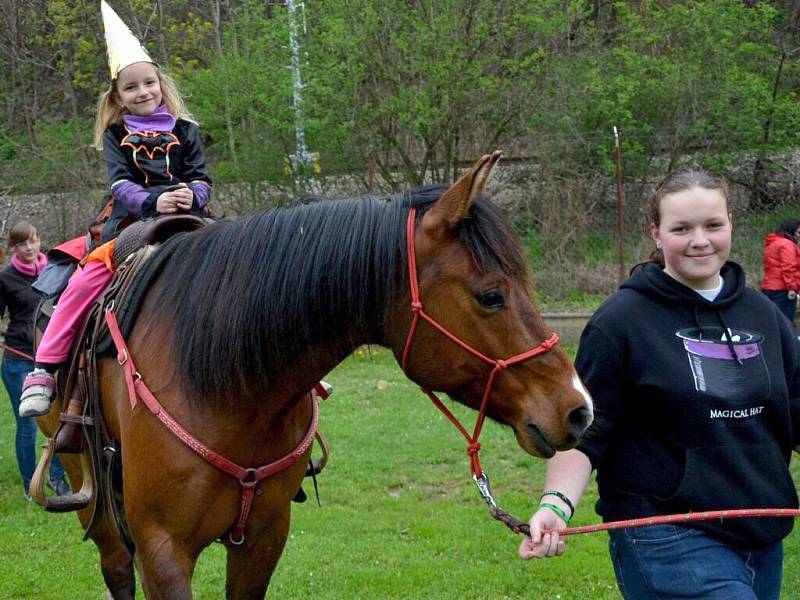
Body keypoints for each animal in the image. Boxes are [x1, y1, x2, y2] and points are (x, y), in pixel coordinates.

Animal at [45, 152, 592, 596]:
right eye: (491, 296)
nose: (579, 409)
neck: (221, 386)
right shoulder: (164, 551)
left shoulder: (262, 540)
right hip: (93, 500)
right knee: (117, 568)